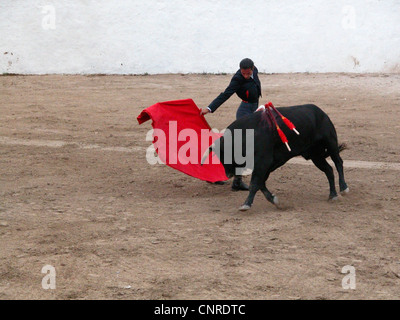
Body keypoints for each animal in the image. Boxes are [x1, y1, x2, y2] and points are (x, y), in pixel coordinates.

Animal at [202, 104, 348, 211]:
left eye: (227, 153)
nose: (228, 174)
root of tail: (321, 111)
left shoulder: (263, 162)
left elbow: (255, 183)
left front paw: (246, 204)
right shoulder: (266, 165)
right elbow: (260, 183)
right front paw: (274, 200)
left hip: (330, 142)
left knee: (338, 162)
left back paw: (343, 188)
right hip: (315, 155)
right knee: (328, 169)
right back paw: (333, 195)